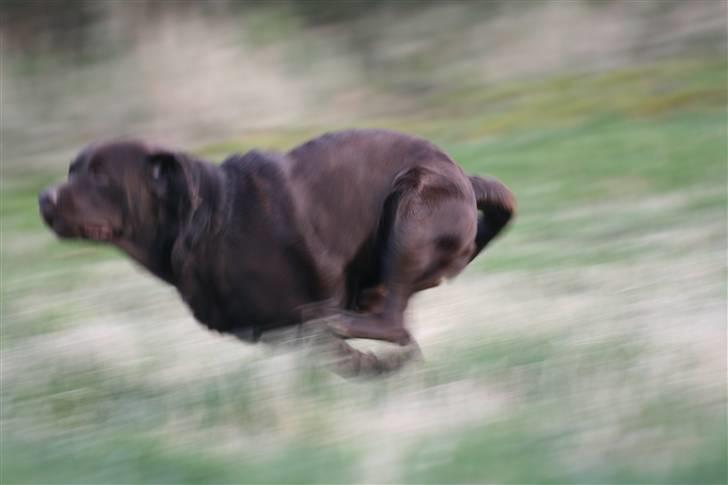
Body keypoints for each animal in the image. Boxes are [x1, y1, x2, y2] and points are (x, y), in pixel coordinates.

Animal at [38, 129, 512, 374]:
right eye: (72, 170)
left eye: (100, 176)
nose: (44, 198)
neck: (205, 221)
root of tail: (465, 180)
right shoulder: (274, 333)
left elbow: (337, 350)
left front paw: (376, 367)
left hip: (411, 210)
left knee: (391, 322)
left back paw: (347, 327)